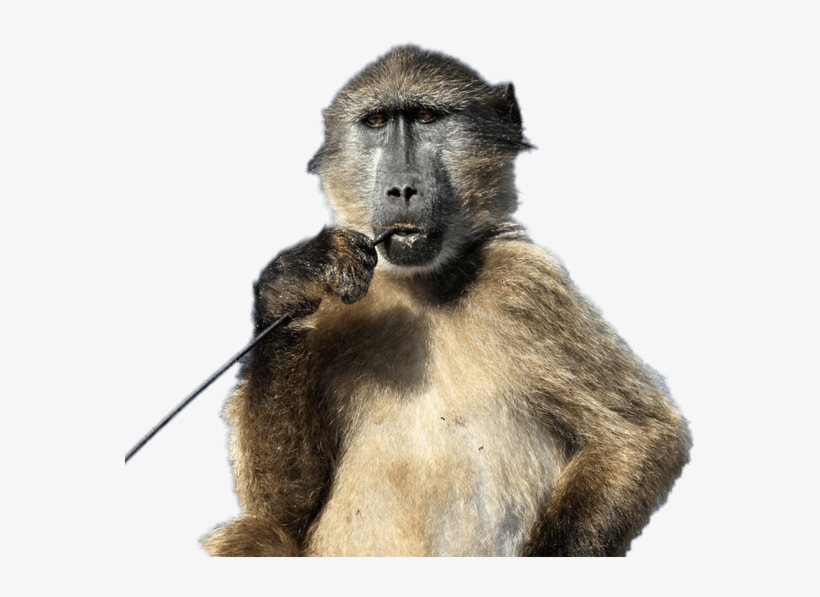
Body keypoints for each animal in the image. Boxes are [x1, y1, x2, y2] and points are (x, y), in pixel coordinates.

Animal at [201, 45, 691, 557]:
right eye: (377, 121)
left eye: (425, 117)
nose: (401, 188)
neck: (423, 288)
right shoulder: (339, 301)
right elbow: (282, 507)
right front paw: (293, 282)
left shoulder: (525, 285)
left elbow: (638, 437)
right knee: (254, 530)